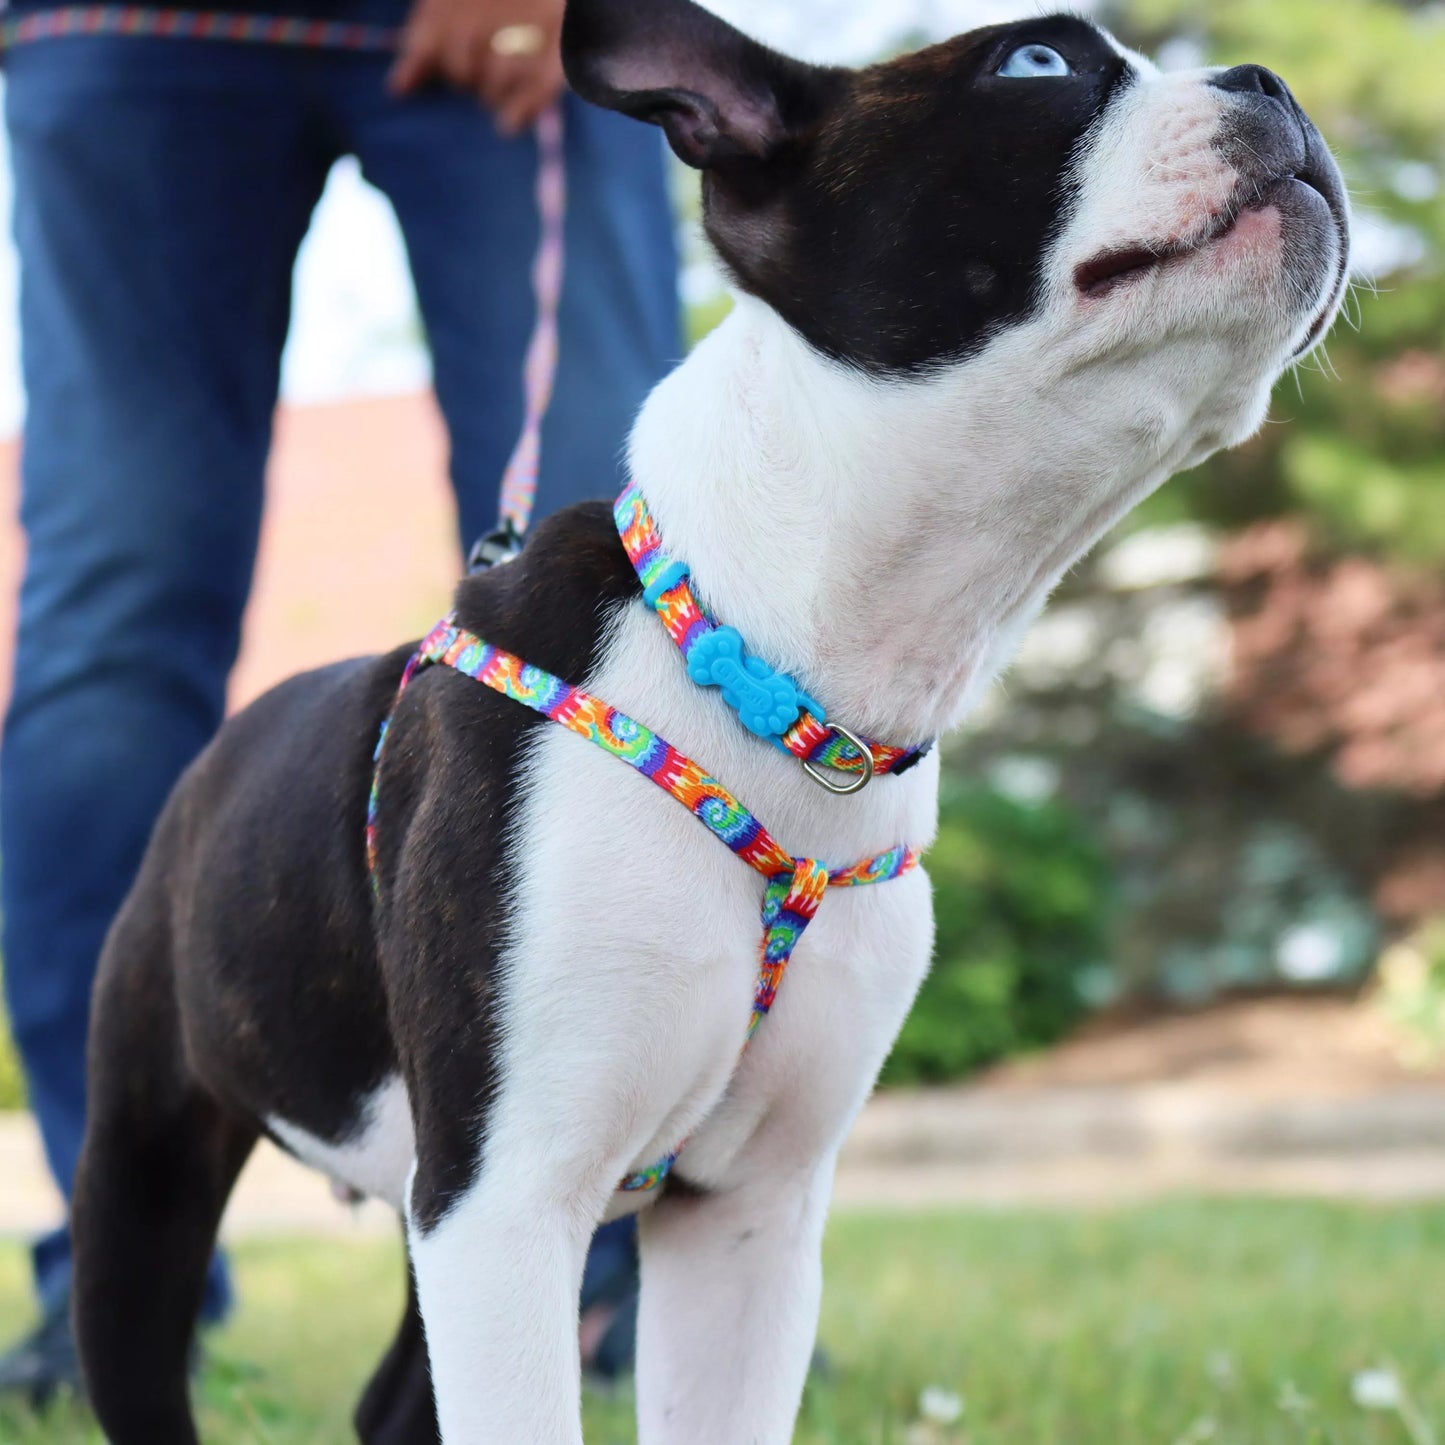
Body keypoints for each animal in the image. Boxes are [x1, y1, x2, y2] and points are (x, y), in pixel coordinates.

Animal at [70, 2, 1352, 1445]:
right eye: (1035, 64)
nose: (1270, 78)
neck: (767, 667)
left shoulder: (741, 1220)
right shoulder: (508, 1199)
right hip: (152, 1165)